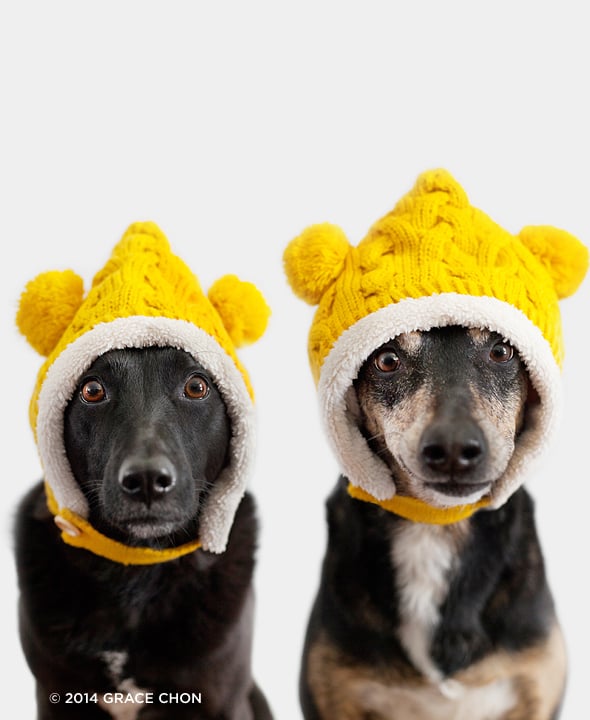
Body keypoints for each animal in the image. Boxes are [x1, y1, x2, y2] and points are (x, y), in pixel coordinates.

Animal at [13, 346, 272, 716]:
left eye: (197, 387)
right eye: (92, 390)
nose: (148, 480)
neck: (137, 570)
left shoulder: (222, 702)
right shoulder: (56, 698)